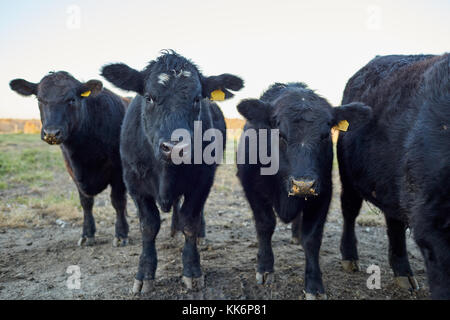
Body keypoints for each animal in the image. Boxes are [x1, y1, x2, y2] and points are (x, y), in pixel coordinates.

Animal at [9, 72, 129, 246]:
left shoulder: (119, 171)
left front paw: (121, 234)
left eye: (71, 99)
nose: (51, 133)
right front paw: (87, 234)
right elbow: (86, 203)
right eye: (39, 99)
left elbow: (118, 201)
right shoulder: (73, 170)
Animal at [100, 50, 244, 292]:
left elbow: (190, 221)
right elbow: (149, 225)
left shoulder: (202, 181)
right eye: (149, 97)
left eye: (197, 99)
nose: (175, 147)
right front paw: (144, 274)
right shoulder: (134, 183)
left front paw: (192, 270)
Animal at [237, 83, 370, 300]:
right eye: (280, 134)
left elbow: (312, 238)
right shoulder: (252, 187)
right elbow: (265, 225)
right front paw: (265, 267)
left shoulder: (323, 193)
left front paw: (314, 285)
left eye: (325, 135)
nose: (303, 184)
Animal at [340, 53, 448, 298]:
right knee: (349, 210)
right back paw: (350, 261)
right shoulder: (430, 221)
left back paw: (405, 278)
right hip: (348, 176)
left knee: (394, 223)